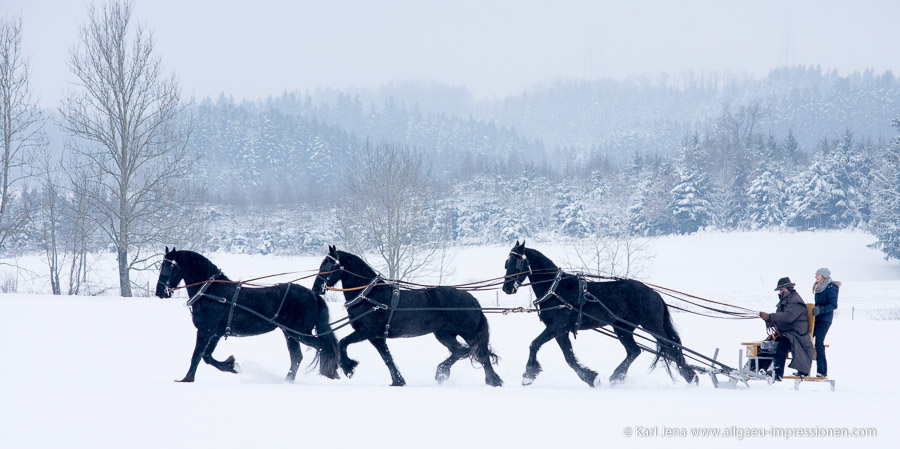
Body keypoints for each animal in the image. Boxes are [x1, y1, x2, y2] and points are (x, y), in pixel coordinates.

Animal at [153, 248, 340, 382]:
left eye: (168, 266)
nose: (159, 291)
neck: (210, 291)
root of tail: (313, 295)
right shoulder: (216, 333)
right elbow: (207, 357)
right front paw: (231, 365)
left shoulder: (205, 331)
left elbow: (197, 355)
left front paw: (187, 379)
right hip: (290, 334)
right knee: (297, 357)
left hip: (298, 333)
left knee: (324, 348)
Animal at [312, 245, 502, 384]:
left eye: (329, 266)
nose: (316, 289)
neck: (371, 295)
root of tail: (473, 300)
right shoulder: (377, 337)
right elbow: (387, 358)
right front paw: (398, 381)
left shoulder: (367, 332)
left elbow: (343, 343)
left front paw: (348, 367)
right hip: (444, 334)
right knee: (462, 350)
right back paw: (443, 372)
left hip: (468, 333)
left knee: (479, 354)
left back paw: (492, 381)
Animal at [500, 242, 696, 384]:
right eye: (506, 263)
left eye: (516, 263)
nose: (506, 288)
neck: (556, 289)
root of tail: (654, 293)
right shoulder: (560, 331)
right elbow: (569, 357)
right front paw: (590, 377)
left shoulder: (557, 327)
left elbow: (534, 344)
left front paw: (528, 374)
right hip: (622, 328)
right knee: (634, 351)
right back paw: (617, 377)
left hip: (651, 326)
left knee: (671, 348)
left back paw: (691, 377)